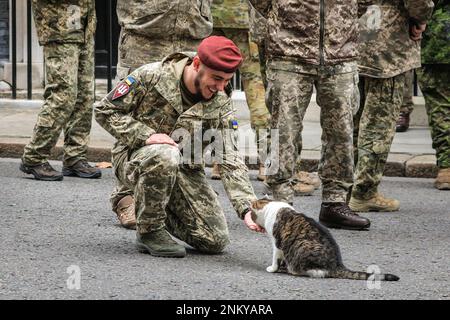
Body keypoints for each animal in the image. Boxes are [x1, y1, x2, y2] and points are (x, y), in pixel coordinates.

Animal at [251, 199, 400, 282]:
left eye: (252, 213)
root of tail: (337, 265)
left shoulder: (277, 242)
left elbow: (275, 258)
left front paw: (273, 268)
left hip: (302, 245)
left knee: (317, 272)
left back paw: (293, 270)